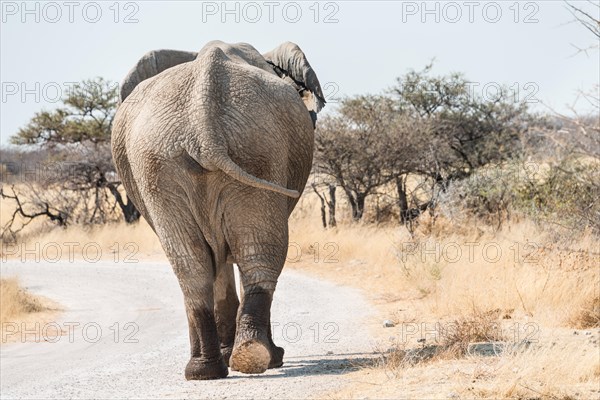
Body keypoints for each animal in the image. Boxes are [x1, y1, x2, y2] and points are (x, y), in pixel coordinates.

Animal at [111, 41, 328, 382]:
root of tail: (204, 117)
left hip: (218, 153)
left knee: (197, 264)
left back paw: (215, 367)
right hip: (217, 152)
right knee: (253, 253)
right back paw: (246, 360)